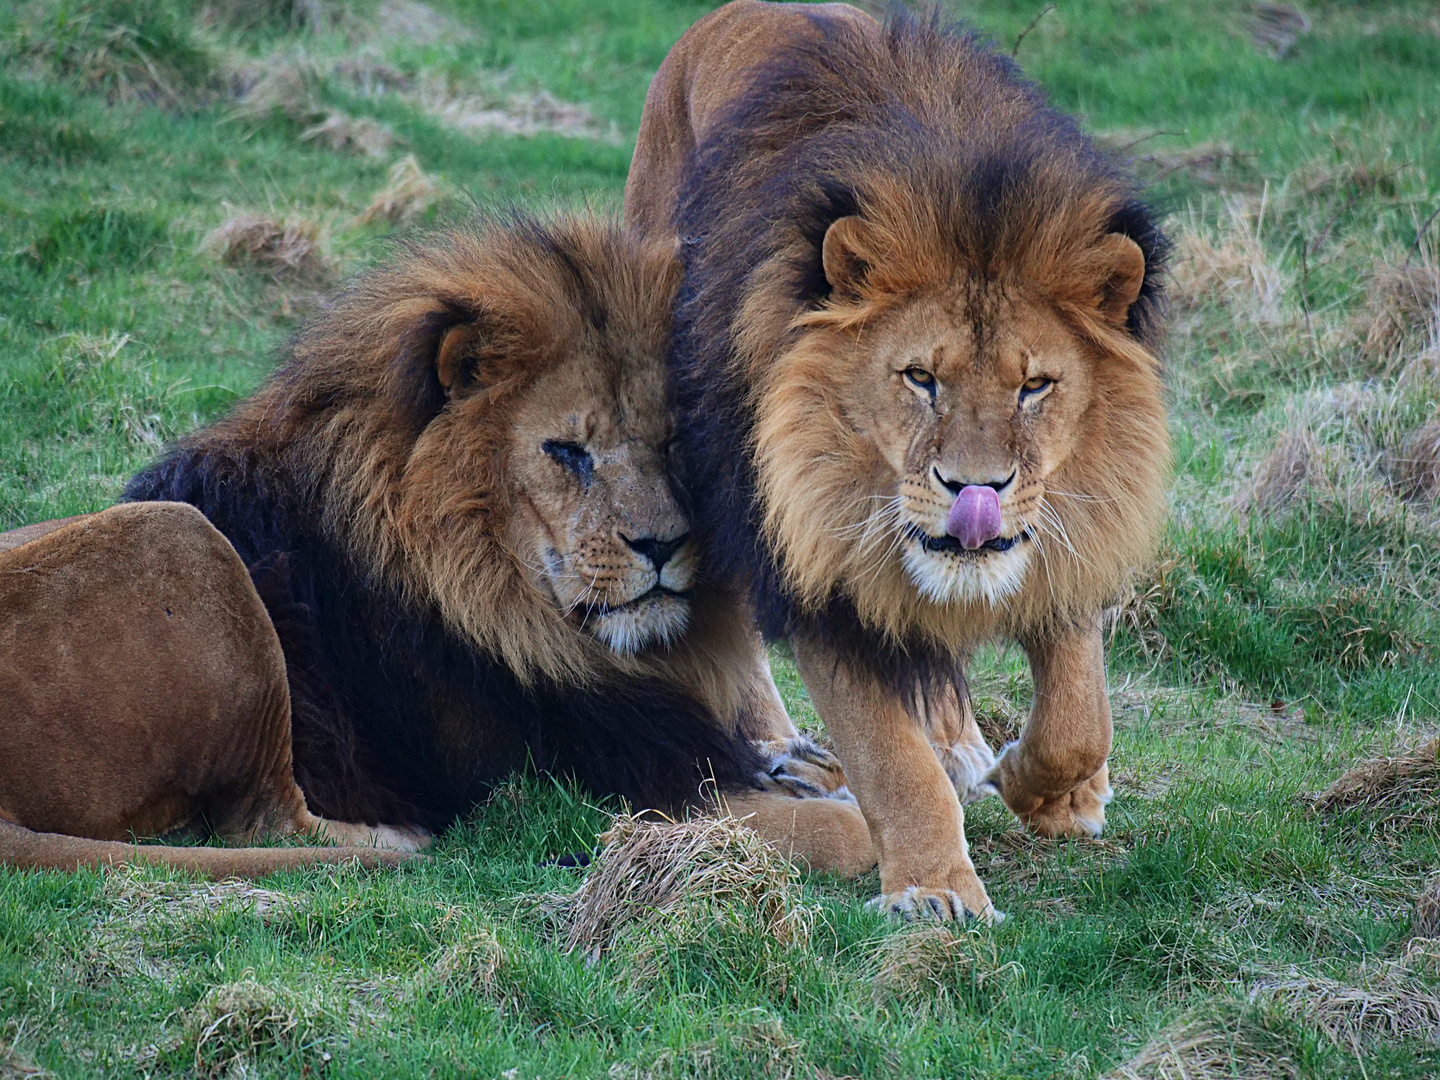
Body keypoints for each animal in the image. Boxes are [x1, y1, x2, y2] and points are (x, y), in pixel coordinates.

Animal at [627, 2, 1169, 921]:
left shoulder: (1062, 525)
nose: (976, 489)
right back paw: (787, 751)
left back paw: (966, 747)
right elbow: (889, 756)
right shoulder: (815, 565)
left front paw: (1048, 790)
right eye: (921, 378)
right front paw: (934, 890)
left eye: (1034, 385)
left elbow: (1078, 712)